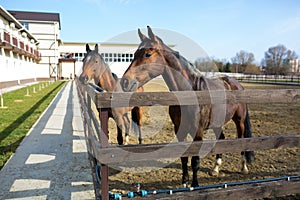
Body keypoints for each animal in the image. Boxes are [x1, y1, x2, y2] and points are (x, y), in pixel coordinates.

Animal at [120, 25, 254, 187]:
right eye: (133, 54)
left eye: (148, 54)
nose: (125, 81)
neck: (191, 91)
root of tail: (236, 84)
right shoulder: (180, 129)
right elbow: (184, 157)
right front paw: (184, 182)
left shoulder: (198, 131)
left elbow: (195, 159)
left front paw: (194, 185)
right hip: (217, 123)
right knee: (221, 139)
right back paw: (215, 169)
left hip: (239, 121)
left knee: (242, 141)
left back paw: (244, 167)